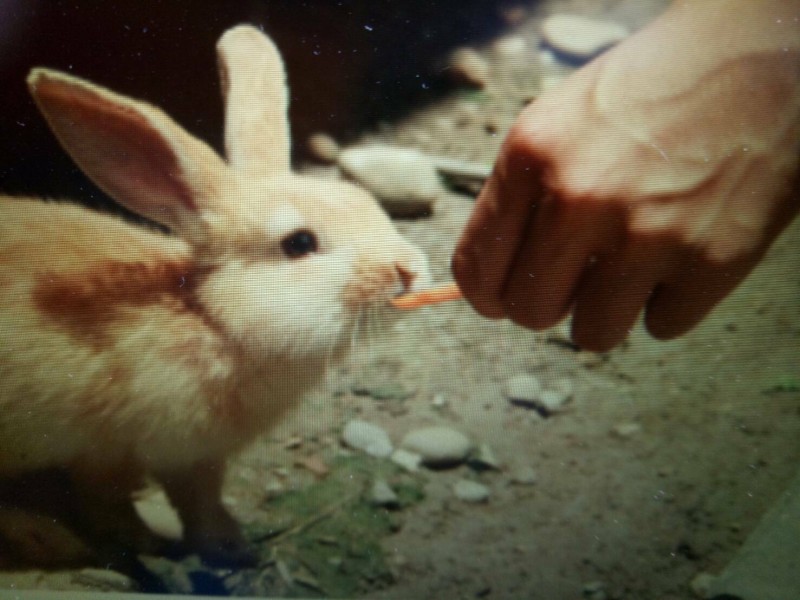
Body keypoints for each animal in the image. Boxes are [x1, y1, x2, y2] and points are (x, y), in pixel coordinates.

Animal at [0, 24, 432, 568]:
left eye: (364, 202)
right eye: (299, 243)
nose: (409, 270)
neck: (210, 320)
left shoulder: (195, 458)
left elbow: (198, 500)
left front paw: (232, 544)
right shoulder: (120, 450)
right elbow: (122, 503)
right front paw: (163, 546)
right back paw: (47, 540)